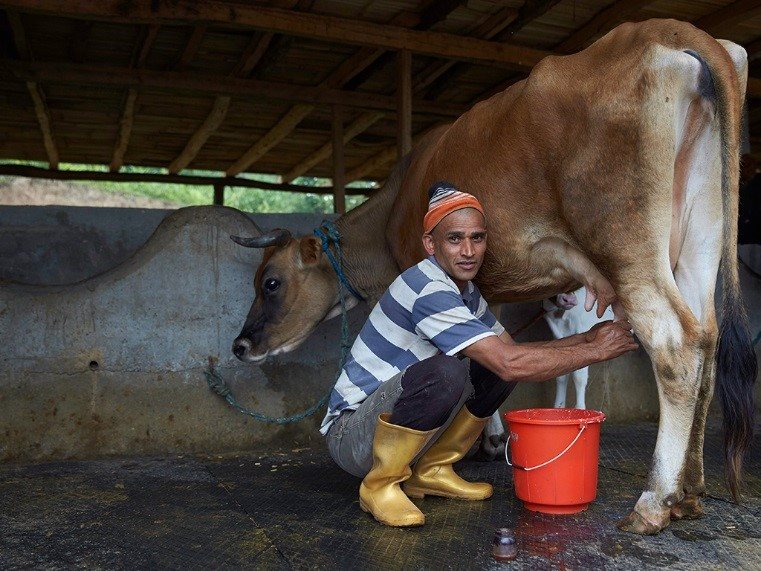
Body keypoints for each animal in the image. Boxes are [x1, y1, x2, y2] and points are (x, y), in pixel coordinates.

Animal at [230, 19, 756, 536]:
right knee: (707, 339)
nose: (240, 345)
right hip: (700, 237)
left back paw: (654, 501)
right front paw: (492, 437)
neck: (393, 209)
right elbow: (496, 341)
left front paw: (485, 441)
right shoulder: (487, 286)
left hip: (625, 239)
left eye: (270, 281)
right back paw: (691, 491)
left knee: (675, 343)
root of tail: (666, 30)